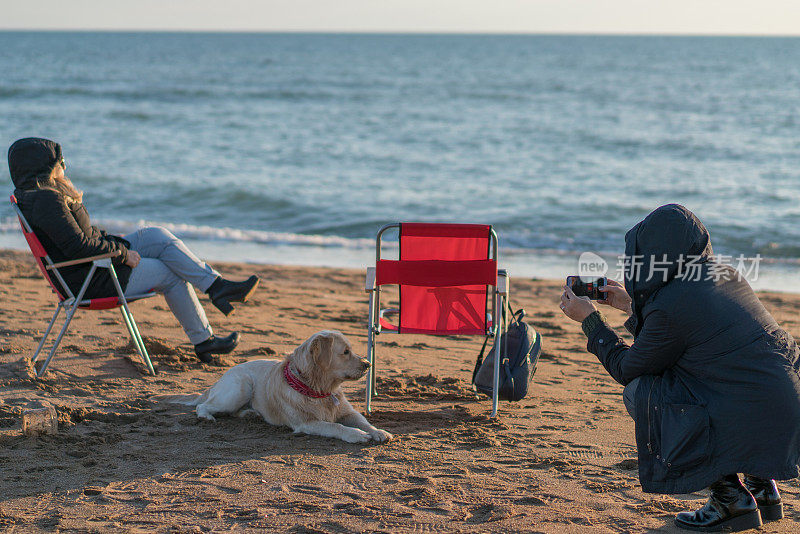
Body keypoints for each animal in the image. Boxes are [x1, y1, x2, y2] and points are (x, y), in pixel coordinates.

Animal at [152, 332, 390, 446]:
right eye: (346, 352)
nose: (368, 364)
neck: (318, 389)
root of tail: (221, 377)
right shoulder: (307, 423)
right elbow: (336, 427)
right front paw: (356, 435)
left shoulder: (347, 412)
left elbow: (363, 421)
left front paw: (379, 432)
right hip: (240, 386)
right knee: (204, 405)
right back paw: (206, 416)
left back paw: (251, 414)